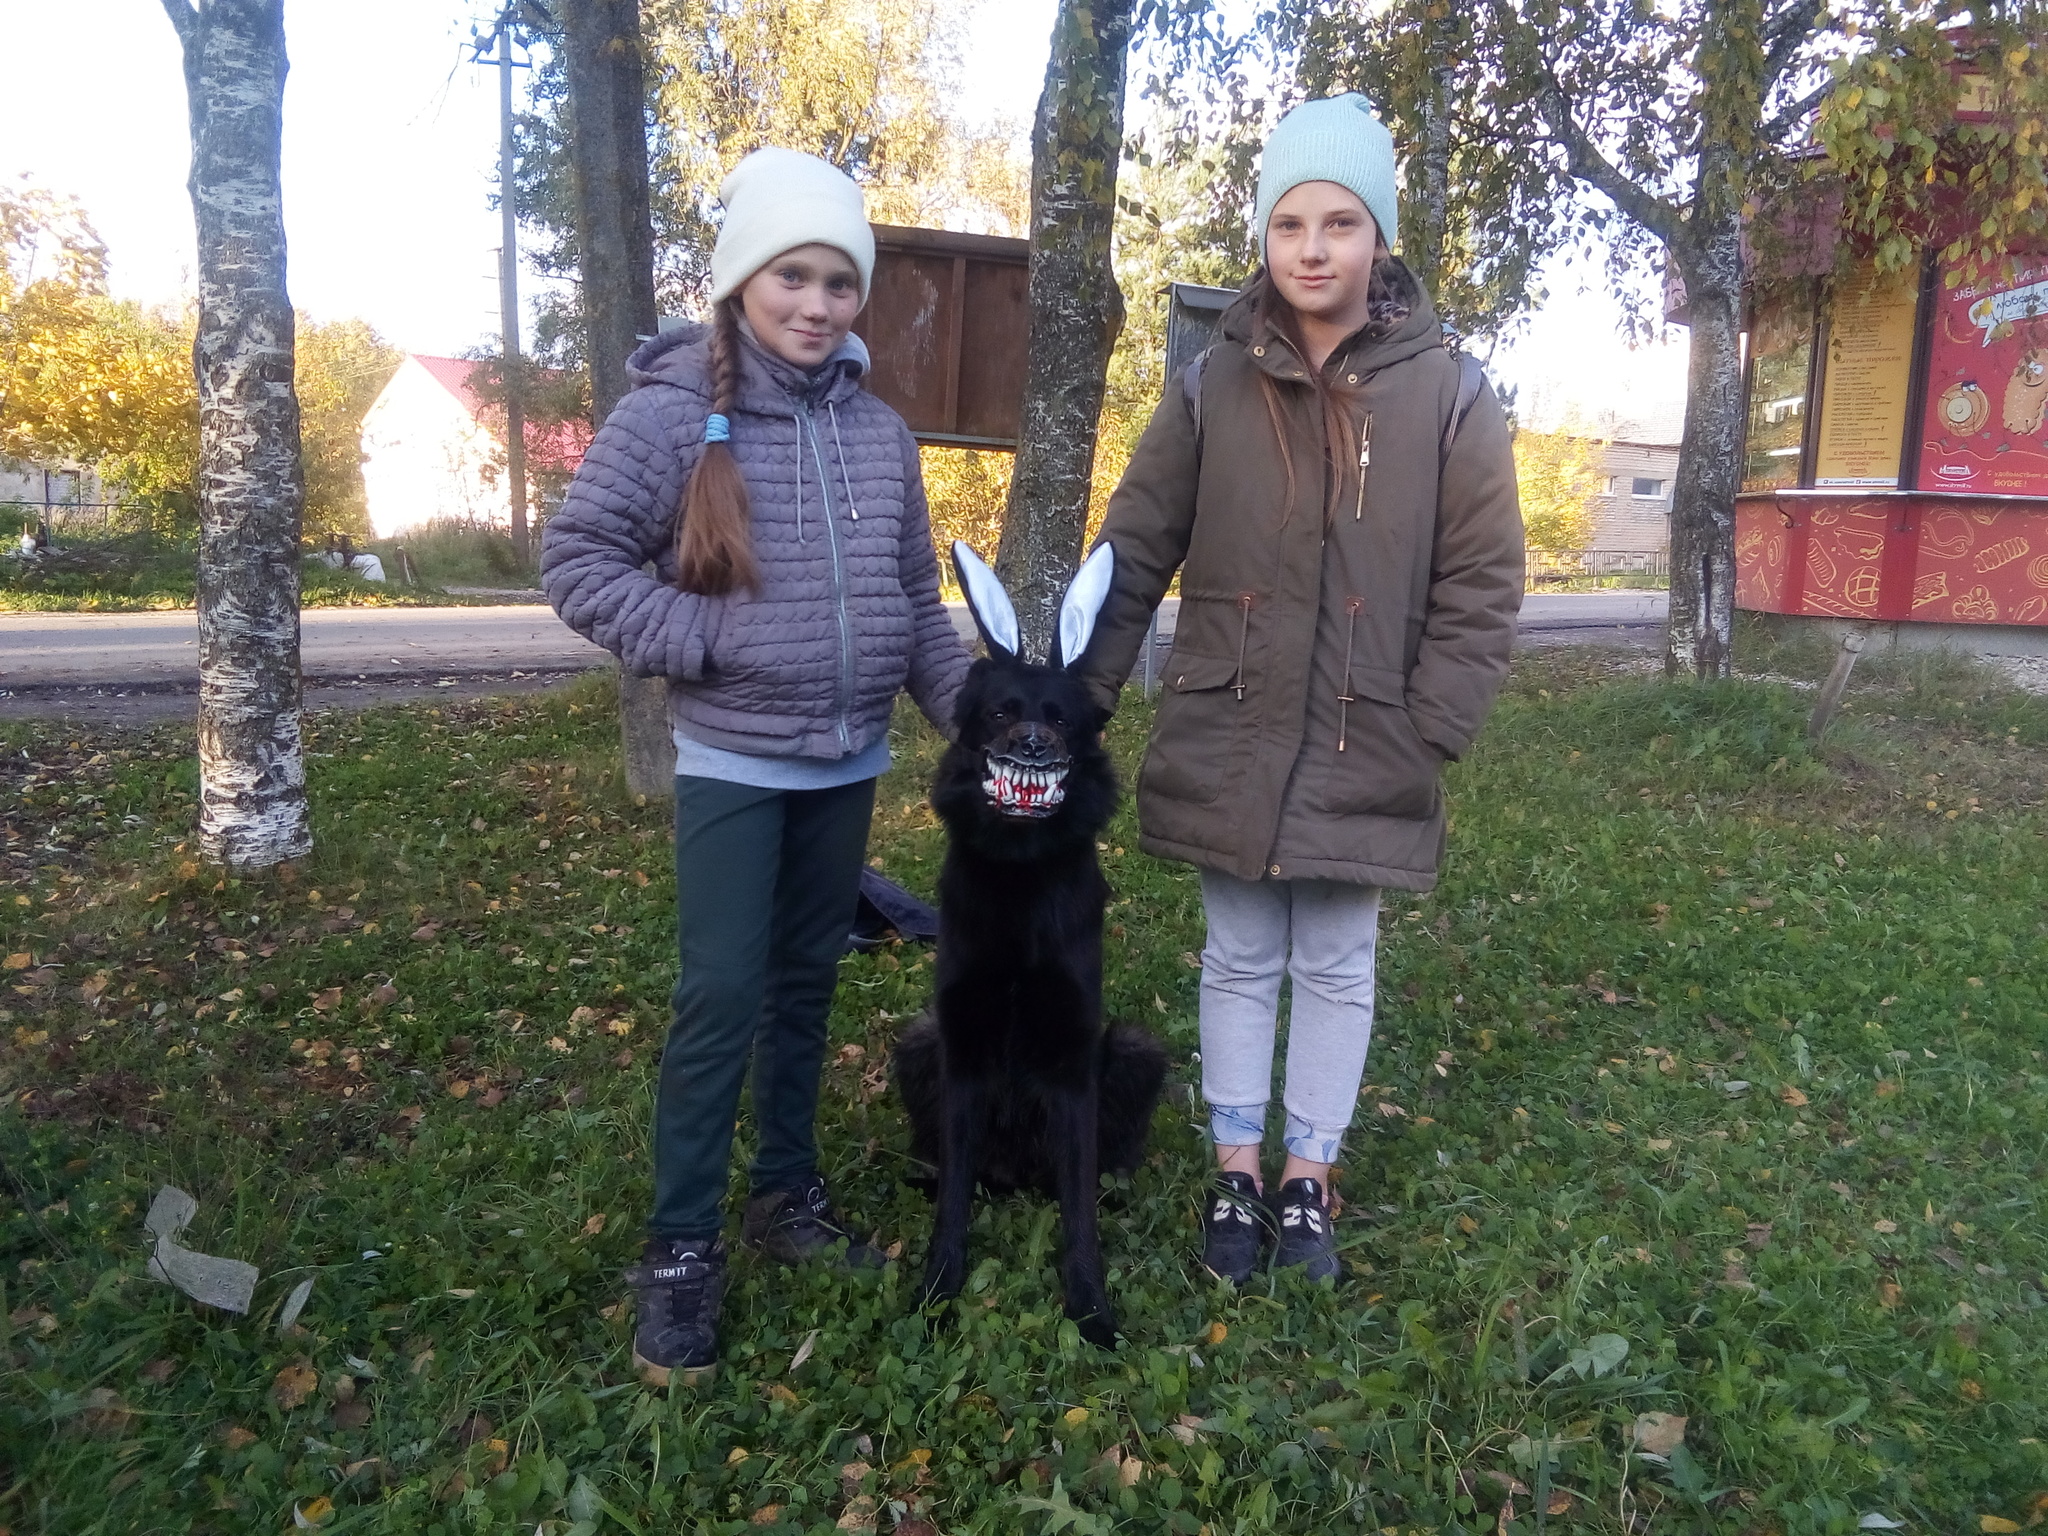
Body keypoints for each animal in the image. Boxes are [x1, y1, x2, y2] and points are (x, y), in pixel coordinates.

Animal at [888, 540, 1163, 1343]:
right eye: (1002, 712)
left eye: (1062, 719)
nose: (1035, 746)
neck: (1019, 874)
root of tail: (1014, 1177)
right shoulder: (962, 1043)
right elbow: (954, 1202)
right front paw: (937, 1289)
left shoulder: (1073, 1058)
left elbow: (1077, 1216)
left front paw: (1091, 1308)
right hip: (919, 1040)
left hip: (1136, 1047)